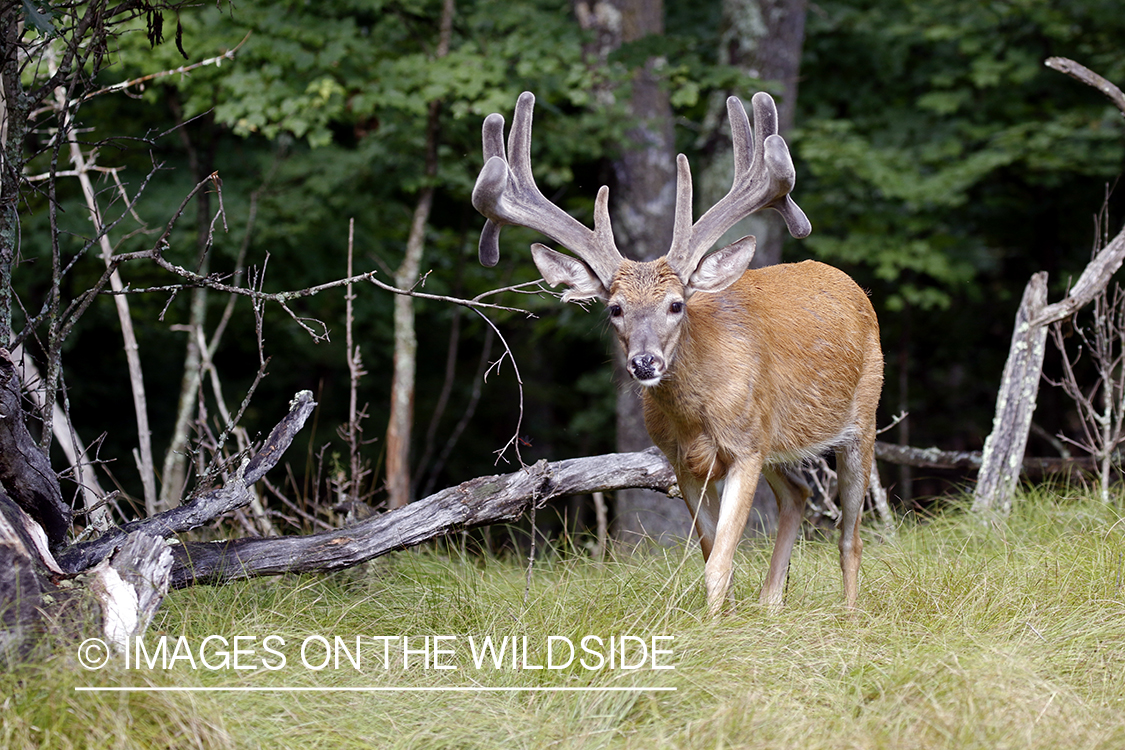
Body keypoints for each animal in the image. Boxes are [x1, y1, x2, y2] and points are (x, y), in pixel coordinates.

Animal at [470, 91, 882, 611]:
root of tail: (850, 284)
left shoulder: (746, 447)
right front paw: (724, 618)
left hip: (861, 418)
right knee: (798, 495)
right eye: (615, 308)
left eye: (676, 304)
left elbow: (721, 560)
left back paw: (849, 614)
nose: (645, 362)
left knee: (850, 534)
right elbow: (711, 555)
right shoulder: (681, 461)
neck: (697, 414)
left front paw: (715, 623)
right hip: (779, 444)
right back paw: (771, 605)